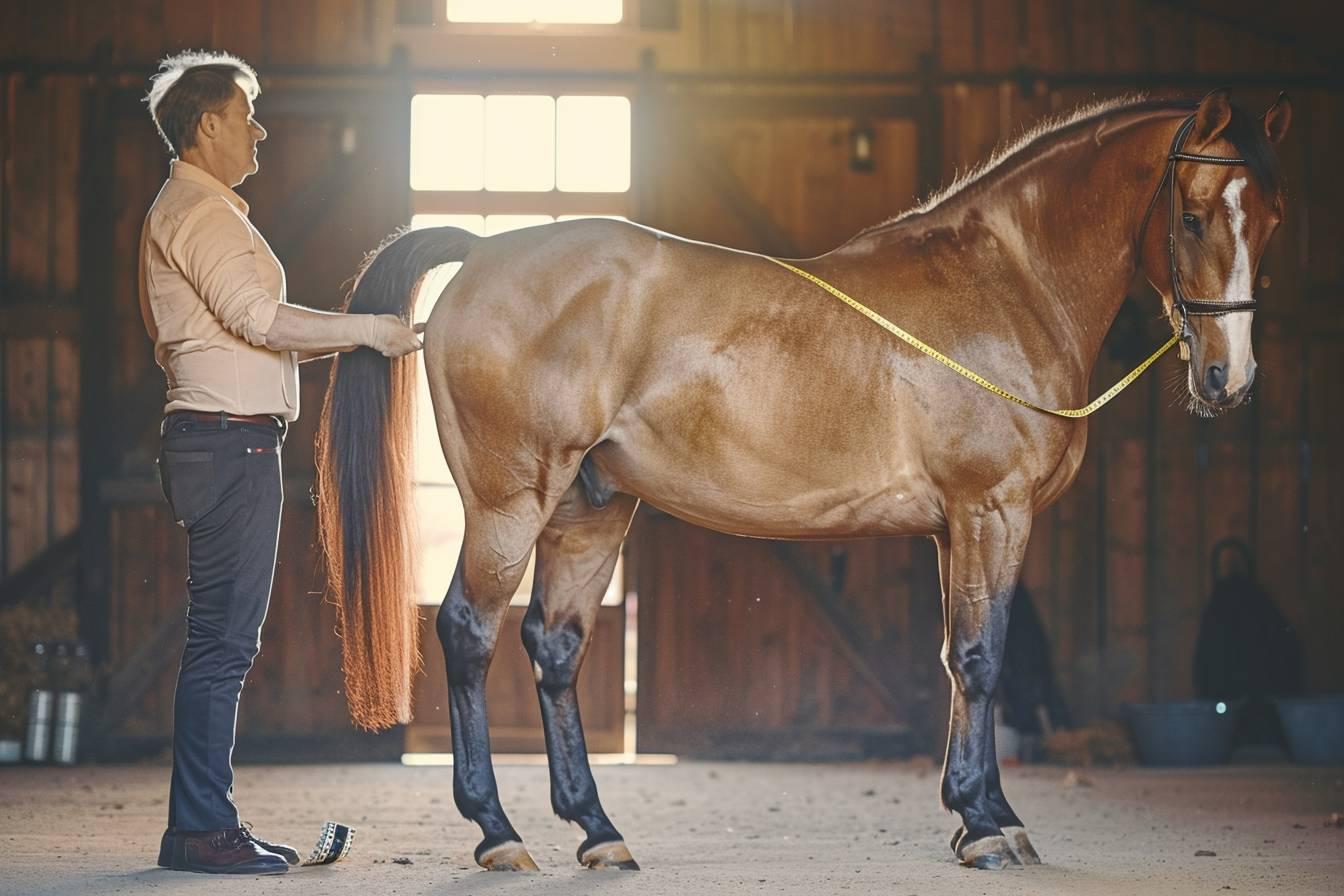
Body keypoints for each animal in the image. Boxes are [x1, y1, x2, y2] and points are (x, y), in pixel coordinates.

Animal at [315, 88, 1291, 872]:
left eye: (1273, 218)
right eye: (1193, 215)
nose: (1228, 378)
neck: (1003, 287)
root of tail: (483, 254)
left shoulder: (955, 527)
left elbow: (957, 658)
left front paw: (973, 810)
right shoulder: (992, 511)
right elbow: (984, 659)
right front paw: (989, 826)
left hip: (589, 511)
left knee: (554, 648)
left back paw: (598, 831)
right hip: (510, 505)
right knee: (468, 634)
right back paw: (497, 832)